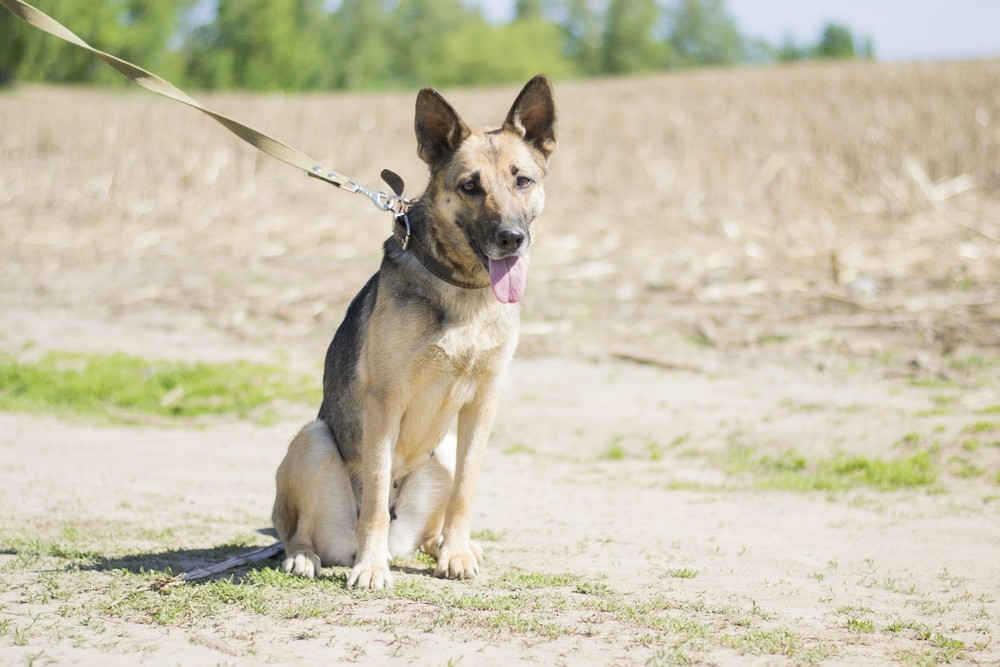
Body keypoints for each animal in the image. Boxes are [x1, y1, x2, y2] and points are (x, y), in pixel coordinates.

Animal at [270, 77, 560, 588]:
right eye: (470, 187)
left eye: (522, 181)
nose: (511, 238)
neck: (462, 288)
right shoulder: (385, 402)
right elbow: (375, 496)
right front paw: (371, 566)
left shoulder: (484, 402)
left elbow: (466, 490)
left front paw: (456, 553)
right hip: (313, 438)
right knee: (299, 530)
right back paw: (309, 556)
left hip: (442, 451)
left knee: (431, 525)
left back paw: (445, 545)